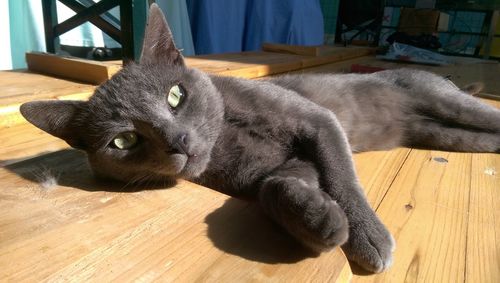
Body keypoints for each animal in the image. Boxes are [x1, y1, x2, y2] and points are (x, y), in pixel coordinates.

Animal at [20, 3, 500, 276]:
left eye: (176, 95)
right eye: (123, 142)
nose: (178, 140)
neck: (227, 137)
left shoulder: (319, 122)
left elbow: (343, 179)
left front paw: (368, 237)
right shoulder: (274, 166)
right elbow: (275, 187)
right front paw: (319, 220)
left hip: (447, 102)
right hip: (446, 135)